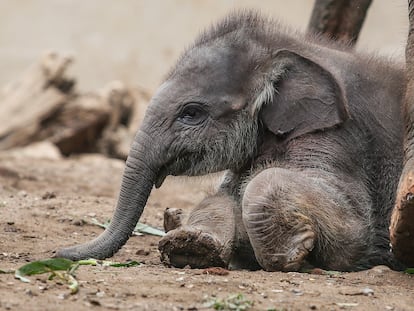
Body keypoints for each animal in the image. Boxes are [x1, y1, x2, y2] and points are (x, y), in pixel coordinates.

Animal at [56, 11, 406, 272]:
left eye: (191, 113)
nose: (59, 253)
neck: (291, 46)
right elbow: (221, 196)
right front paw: (191, 246)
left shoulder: (341, 136)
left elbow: (353, 231)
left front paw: (293, 253)